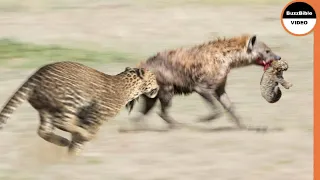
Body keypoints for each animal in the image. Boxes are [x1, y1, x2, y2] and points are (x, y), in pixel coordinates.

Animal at [0, 61, 159, 155]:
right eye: (154, 78)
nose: (158, 87)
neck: (130, 88)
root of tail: (35, 75)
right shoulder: (96, 116)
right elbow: (82, 136)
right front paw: (76, 150)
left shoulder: (85, 117)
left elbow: (77, 140)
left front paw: (73, 153)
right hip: (71, 99)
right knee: (61, 122)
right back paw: (82, 136)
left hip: (46, 108)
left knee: (43, 130)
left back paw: (63, 141)